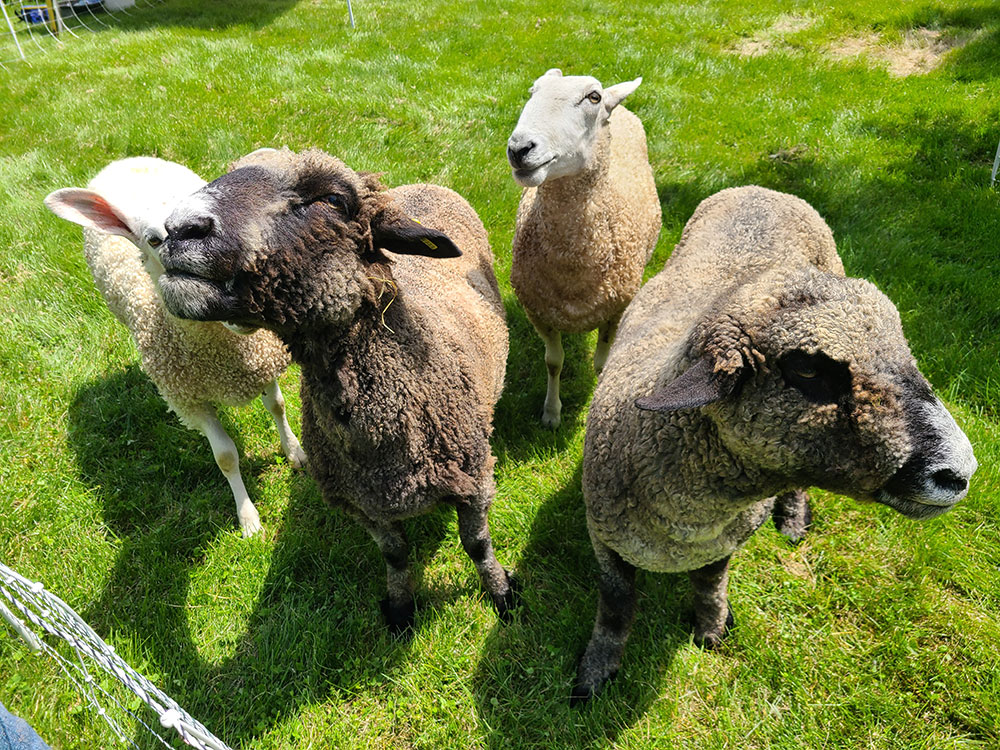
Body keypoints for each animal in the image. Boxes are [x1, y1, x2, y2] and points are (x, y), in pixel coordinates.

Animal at [44, 157, 306, 537]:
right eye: (155, 240)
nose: (235, 295)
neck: (225, 355)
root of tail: (125, 160)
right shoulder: (191, 400)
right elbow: (225, 456)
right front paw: (248, 518)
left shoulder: (263, 364)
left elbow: (277, 406)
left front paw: (295, 453)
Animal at [156, 148, 517, 631]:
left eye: (332, 199)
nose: (178, 229)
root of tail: (427, 184)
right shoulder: (362, 505)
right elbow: (395, 554)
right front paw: (400, 609)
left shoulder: (475, 482)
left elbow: (476, 545)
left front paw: (502, 593)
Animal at [507, 68, 662, 428]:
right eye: (532, 91)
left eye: (593, 97)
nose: (520, 148)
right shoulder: (538, 310)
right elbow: (553, 362)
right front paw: (551, 413)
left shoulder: (616, 309)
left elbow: (601, 365)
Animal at [572, 185, 977, 703]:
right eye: (807, 369)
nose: (961, 472)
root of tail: (762, 189)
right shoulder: (604, 539)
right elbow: (617, 605)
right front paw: (596, 670)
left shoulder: (722, 543)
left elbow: (710, 582)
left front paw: (711, 628)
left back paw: (793, 516)